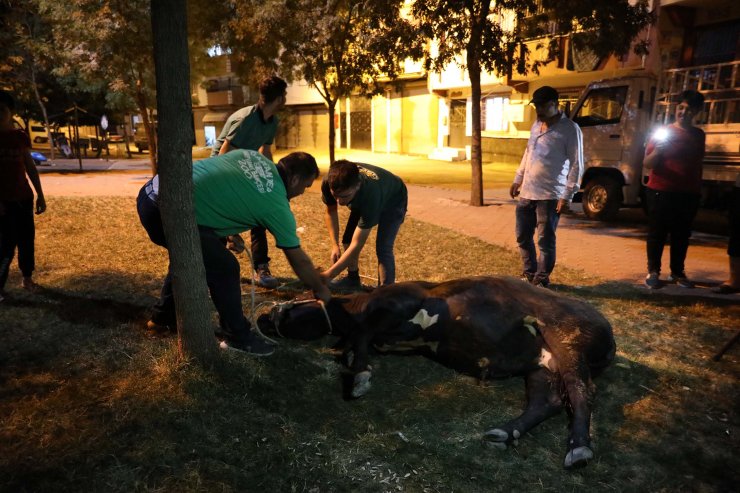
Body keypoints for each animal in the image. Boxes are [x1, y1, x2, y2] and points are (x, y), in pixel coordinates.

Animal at [258, 274, 616, 468]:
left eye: (300, 297)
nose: (263, 315)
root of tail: (608, 332)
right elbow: (357, 341)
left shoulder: (396, 307)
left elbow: (361, 337)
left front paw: (360, 378)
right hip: (540, 366)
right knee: (547, 401)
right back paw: (503, 433)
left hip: (569, 342)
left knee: (581, 392)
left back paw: (579, 448)